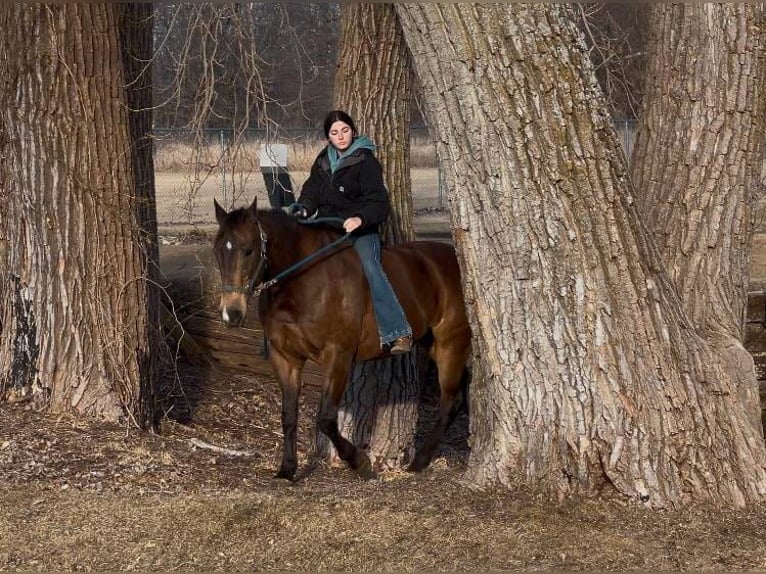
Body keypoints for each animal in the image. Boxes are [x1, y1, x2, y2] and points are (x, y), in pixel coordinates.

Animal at [213, 199, 472, 482]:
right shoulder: (285, 357)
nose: (231, 313)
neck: (303, 282)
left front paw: (360, 462)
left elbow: (326, 418)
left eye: (249, 250)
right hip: (432, 342)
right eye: (218, 251)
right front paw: (287, 469)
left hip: (450, 343)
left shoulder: (338, 354)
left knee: (449, 402)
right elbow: (288, 415)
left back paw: (419, 461)